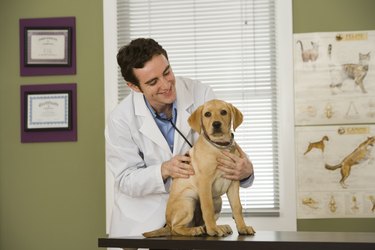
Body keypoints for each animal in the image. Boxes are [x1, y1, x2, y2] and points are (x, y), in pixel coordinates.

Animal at [144, 98, 256, 237]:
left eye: (224, 112)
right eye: (207, 114)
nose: (216, 124)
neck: (220, 147)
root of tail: (167, 224)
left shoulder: (234, 182)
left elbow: (237, 207)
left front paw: (242, 227)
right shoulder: (205, 182)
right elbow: (207, 208)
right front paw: (213, 230)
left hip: (217, 200)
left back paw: (216, 227)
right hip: (188, 200)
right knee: (176, 228)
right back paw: (196, 230)